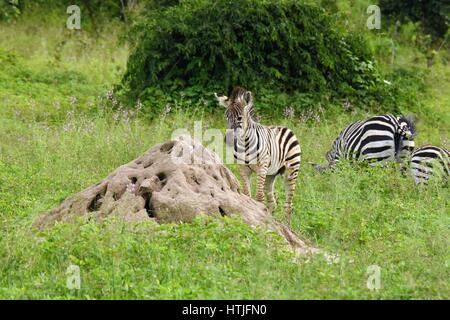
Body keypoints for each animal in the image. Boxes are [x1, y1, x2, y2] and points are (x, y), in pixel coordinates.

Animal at [215, 86, 302, 224]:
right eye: (226, 117)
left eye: (240, 118)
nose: (228, 140)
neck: (245, 145)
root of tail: (284, 127)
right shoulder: (243, 169)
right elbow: (247, 194)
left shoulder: (261, 167)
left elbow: (259, 197)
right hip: (271, 174)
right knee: (273, 202)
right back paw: (270, 220)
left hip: (291, 170)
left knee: (289, 204)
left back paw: (286, 225)